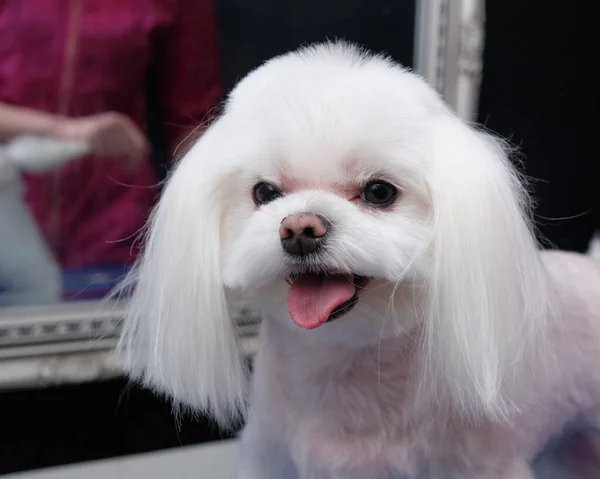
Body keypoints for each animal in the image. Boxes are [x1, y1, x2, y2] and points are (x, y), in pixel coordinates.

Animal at [117, 43, 600, 478]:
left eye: (379, 192)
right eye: (265, 192)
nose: (299, 230)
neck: (342, 365)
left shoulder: (479, 463)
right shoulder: (269, 456)